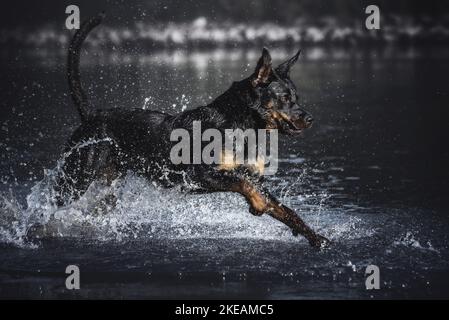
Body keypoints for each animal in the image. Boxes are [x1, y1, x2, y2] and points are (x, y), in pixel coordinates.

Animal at [56, 13, 328, 249]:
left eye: (296, 97)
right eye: (284, 98)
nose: (310, 118)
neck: (241, 126)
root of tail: (92, 115)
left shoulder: (254, 178)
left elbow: (285, 210)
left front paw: (317, 238)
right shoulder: (199, 175)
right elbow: (241, 182)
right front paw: (258, 204)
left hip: (109, 184)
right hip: (76, 176)